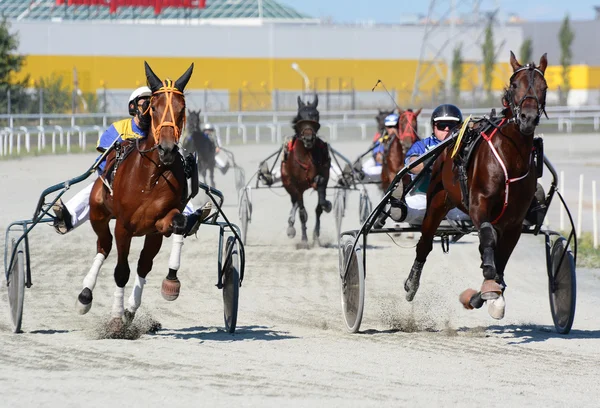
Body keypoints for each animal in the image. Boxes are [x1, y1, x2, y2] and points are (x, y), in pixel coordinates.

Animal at [282, 95, 332, 249]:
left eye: (315, 114)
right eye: (300, 116)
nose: (308, 138)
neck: (307, 153)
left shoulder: (324, 174)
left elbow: (320, 206)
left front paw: (316, 237)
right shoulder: (296, 185)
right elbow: (302, 213)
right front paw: (304, 240)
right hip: (288, 184)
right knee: (295, 203)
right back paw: (291, 227)